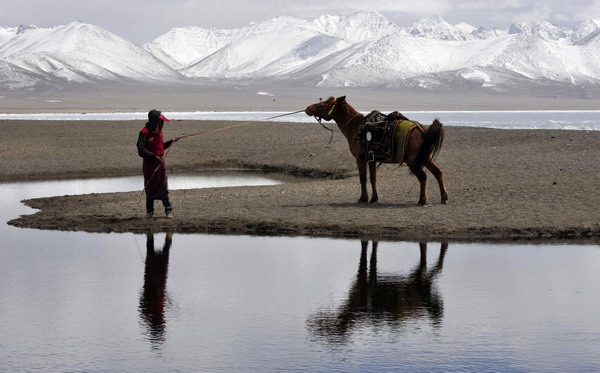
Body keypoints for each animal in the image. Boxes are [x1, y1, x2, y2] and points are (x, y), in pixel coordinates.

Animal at [308, 95, 448, 203]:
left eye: (327, 102)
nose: (308, 108)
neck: (354, 126)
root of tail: (423, 130)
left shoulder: (360, 158)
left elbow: (363, 178)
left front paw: (363, 198)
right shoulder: (372, 159)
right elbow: (373, 178)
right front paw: (374, 198)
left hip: (412, 159)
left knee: (423, 176)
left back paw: (422, 200)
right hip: (425, 157)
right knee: (438, 172)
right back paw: (444, 198)